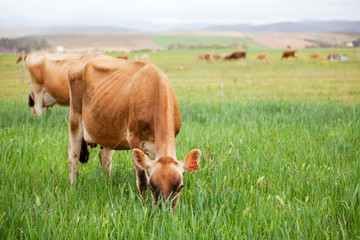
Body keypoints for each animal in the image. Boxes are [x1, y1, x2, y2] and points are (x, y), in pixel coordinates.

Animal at [67, 54, 202, 210]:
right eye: (152, 186)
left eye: (180, 186)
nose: (164, 211)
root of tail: (85, 56)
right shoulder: (135, 140)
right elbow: (142, 179)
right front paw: (144, 204)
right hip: (75, 118)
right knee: (73, 156)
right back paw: (73, 189)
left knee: (105, 158)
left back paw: (107, 184)